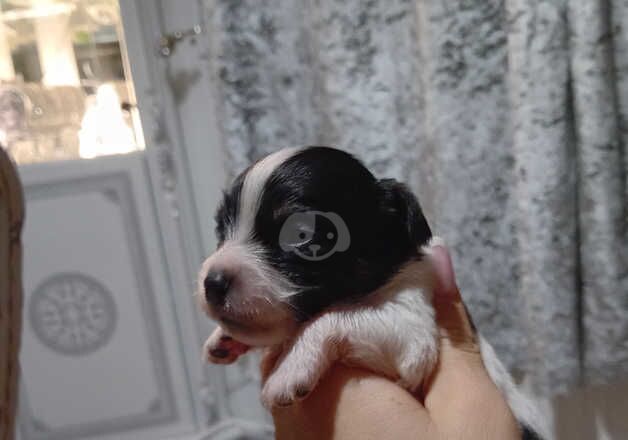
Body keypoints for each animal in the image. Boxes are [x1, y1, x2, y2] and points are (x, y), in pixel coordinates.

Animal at [199, 148, 548, 440]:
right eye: (220, 228)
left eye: (301, 235)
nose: (211, 282)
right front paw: (223, 338)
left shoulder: (412, 332)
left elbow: (334, 316)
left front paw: (290, 368)